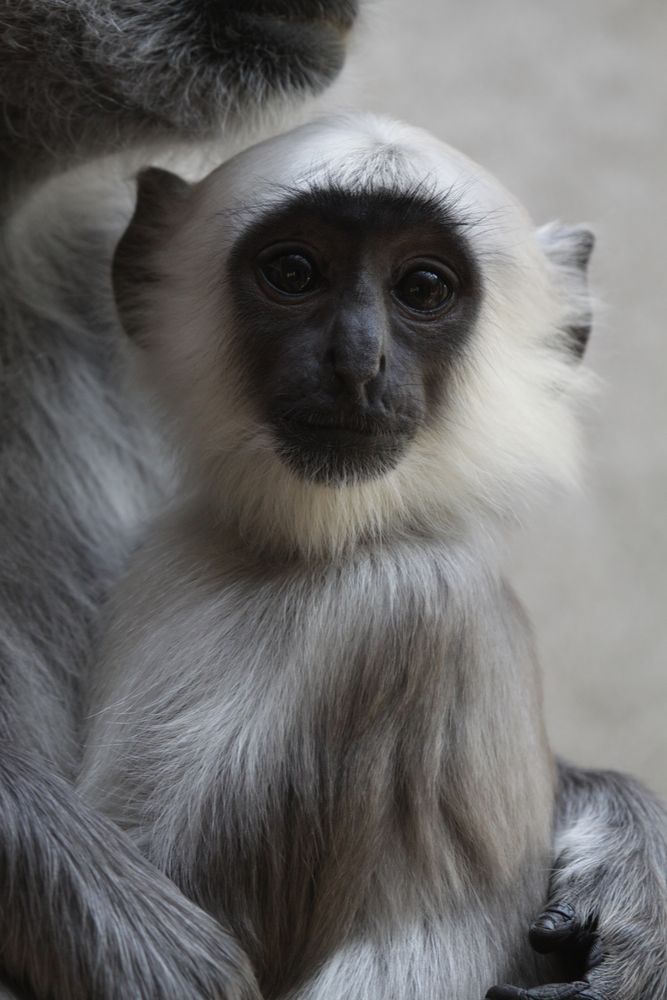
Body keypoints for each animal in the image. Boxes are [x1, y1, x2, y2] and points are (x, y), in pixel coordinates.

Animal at [77, 113, 667, 1000]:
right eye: (294, 272)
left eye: (421, 288)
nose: (356, 364)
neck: (299, 553)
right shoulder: (400, 602)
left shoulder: (396, 600)